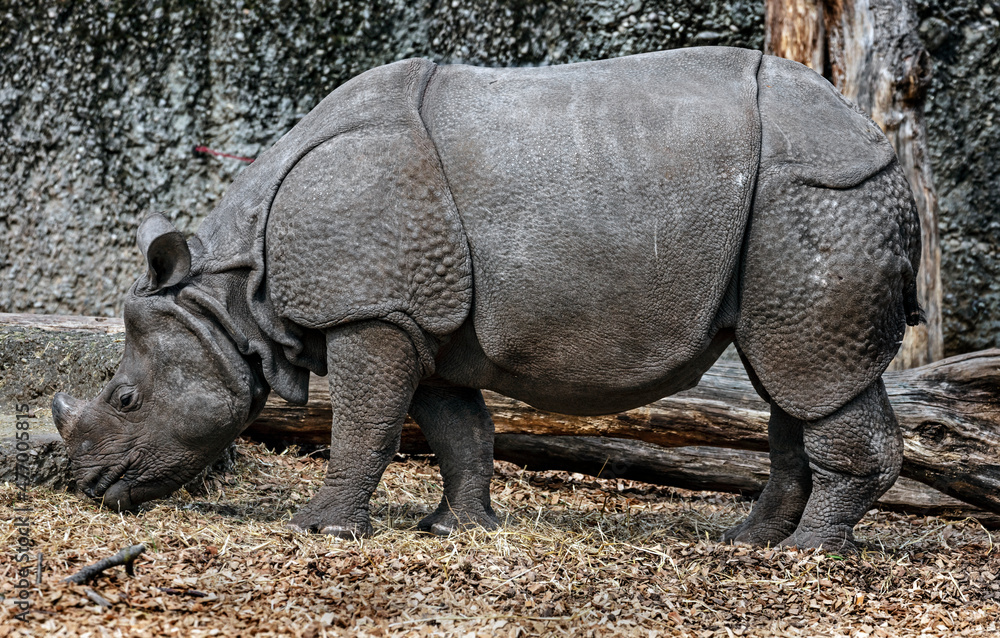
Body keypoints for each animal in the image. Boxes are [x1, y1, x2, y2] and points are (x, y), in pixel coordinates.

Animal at [52, 47, 921, 551]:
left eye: (125, 398)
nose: (89, 488)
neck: (233, 291)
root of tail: (883, 147)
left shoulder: (372, 312)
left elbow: (364, 425)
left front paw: (320, 531)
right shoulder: (419, 318)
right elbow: (458, 429)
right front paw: (455, 528)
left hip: (817, 196)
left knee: (807, 371)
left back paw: (809, 554)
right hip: (801, 205)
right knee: (793, 381)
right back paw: (749, 542)